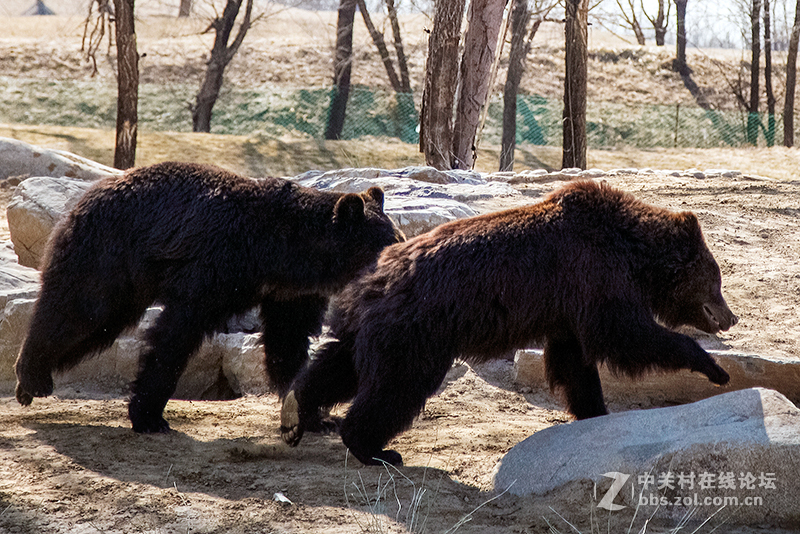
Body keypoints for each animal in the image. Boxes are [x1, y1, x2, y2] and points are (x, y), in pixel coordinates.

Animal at [17, 161, 406, 434]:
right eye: (388, 242)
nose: (401, 261)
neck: (282, 255)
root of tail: (80, 199)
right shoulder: (213, 265)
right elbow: (176, 334)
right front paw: (149, 416)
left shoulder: (292, 292)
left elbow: (289, 342)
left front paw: (314, 417)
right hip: (108, 254)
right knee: (81, 310)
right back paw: (30, 376)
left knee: (96, 326)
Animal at [282, 179, 736, 464]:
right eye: (716, 280)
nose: (730, 317)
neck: (633, 254)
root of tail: (371, 278)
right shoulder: (593, 276)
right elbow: (625, 334)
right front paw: (714, 368)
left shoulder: (567, 307)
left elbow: (575, 363)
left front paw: (594, 412)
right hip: (418, 329)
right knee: (396, 385)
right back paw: (375, 449)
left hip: (373, 327)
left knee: (339, 366)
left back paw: (299, 411)